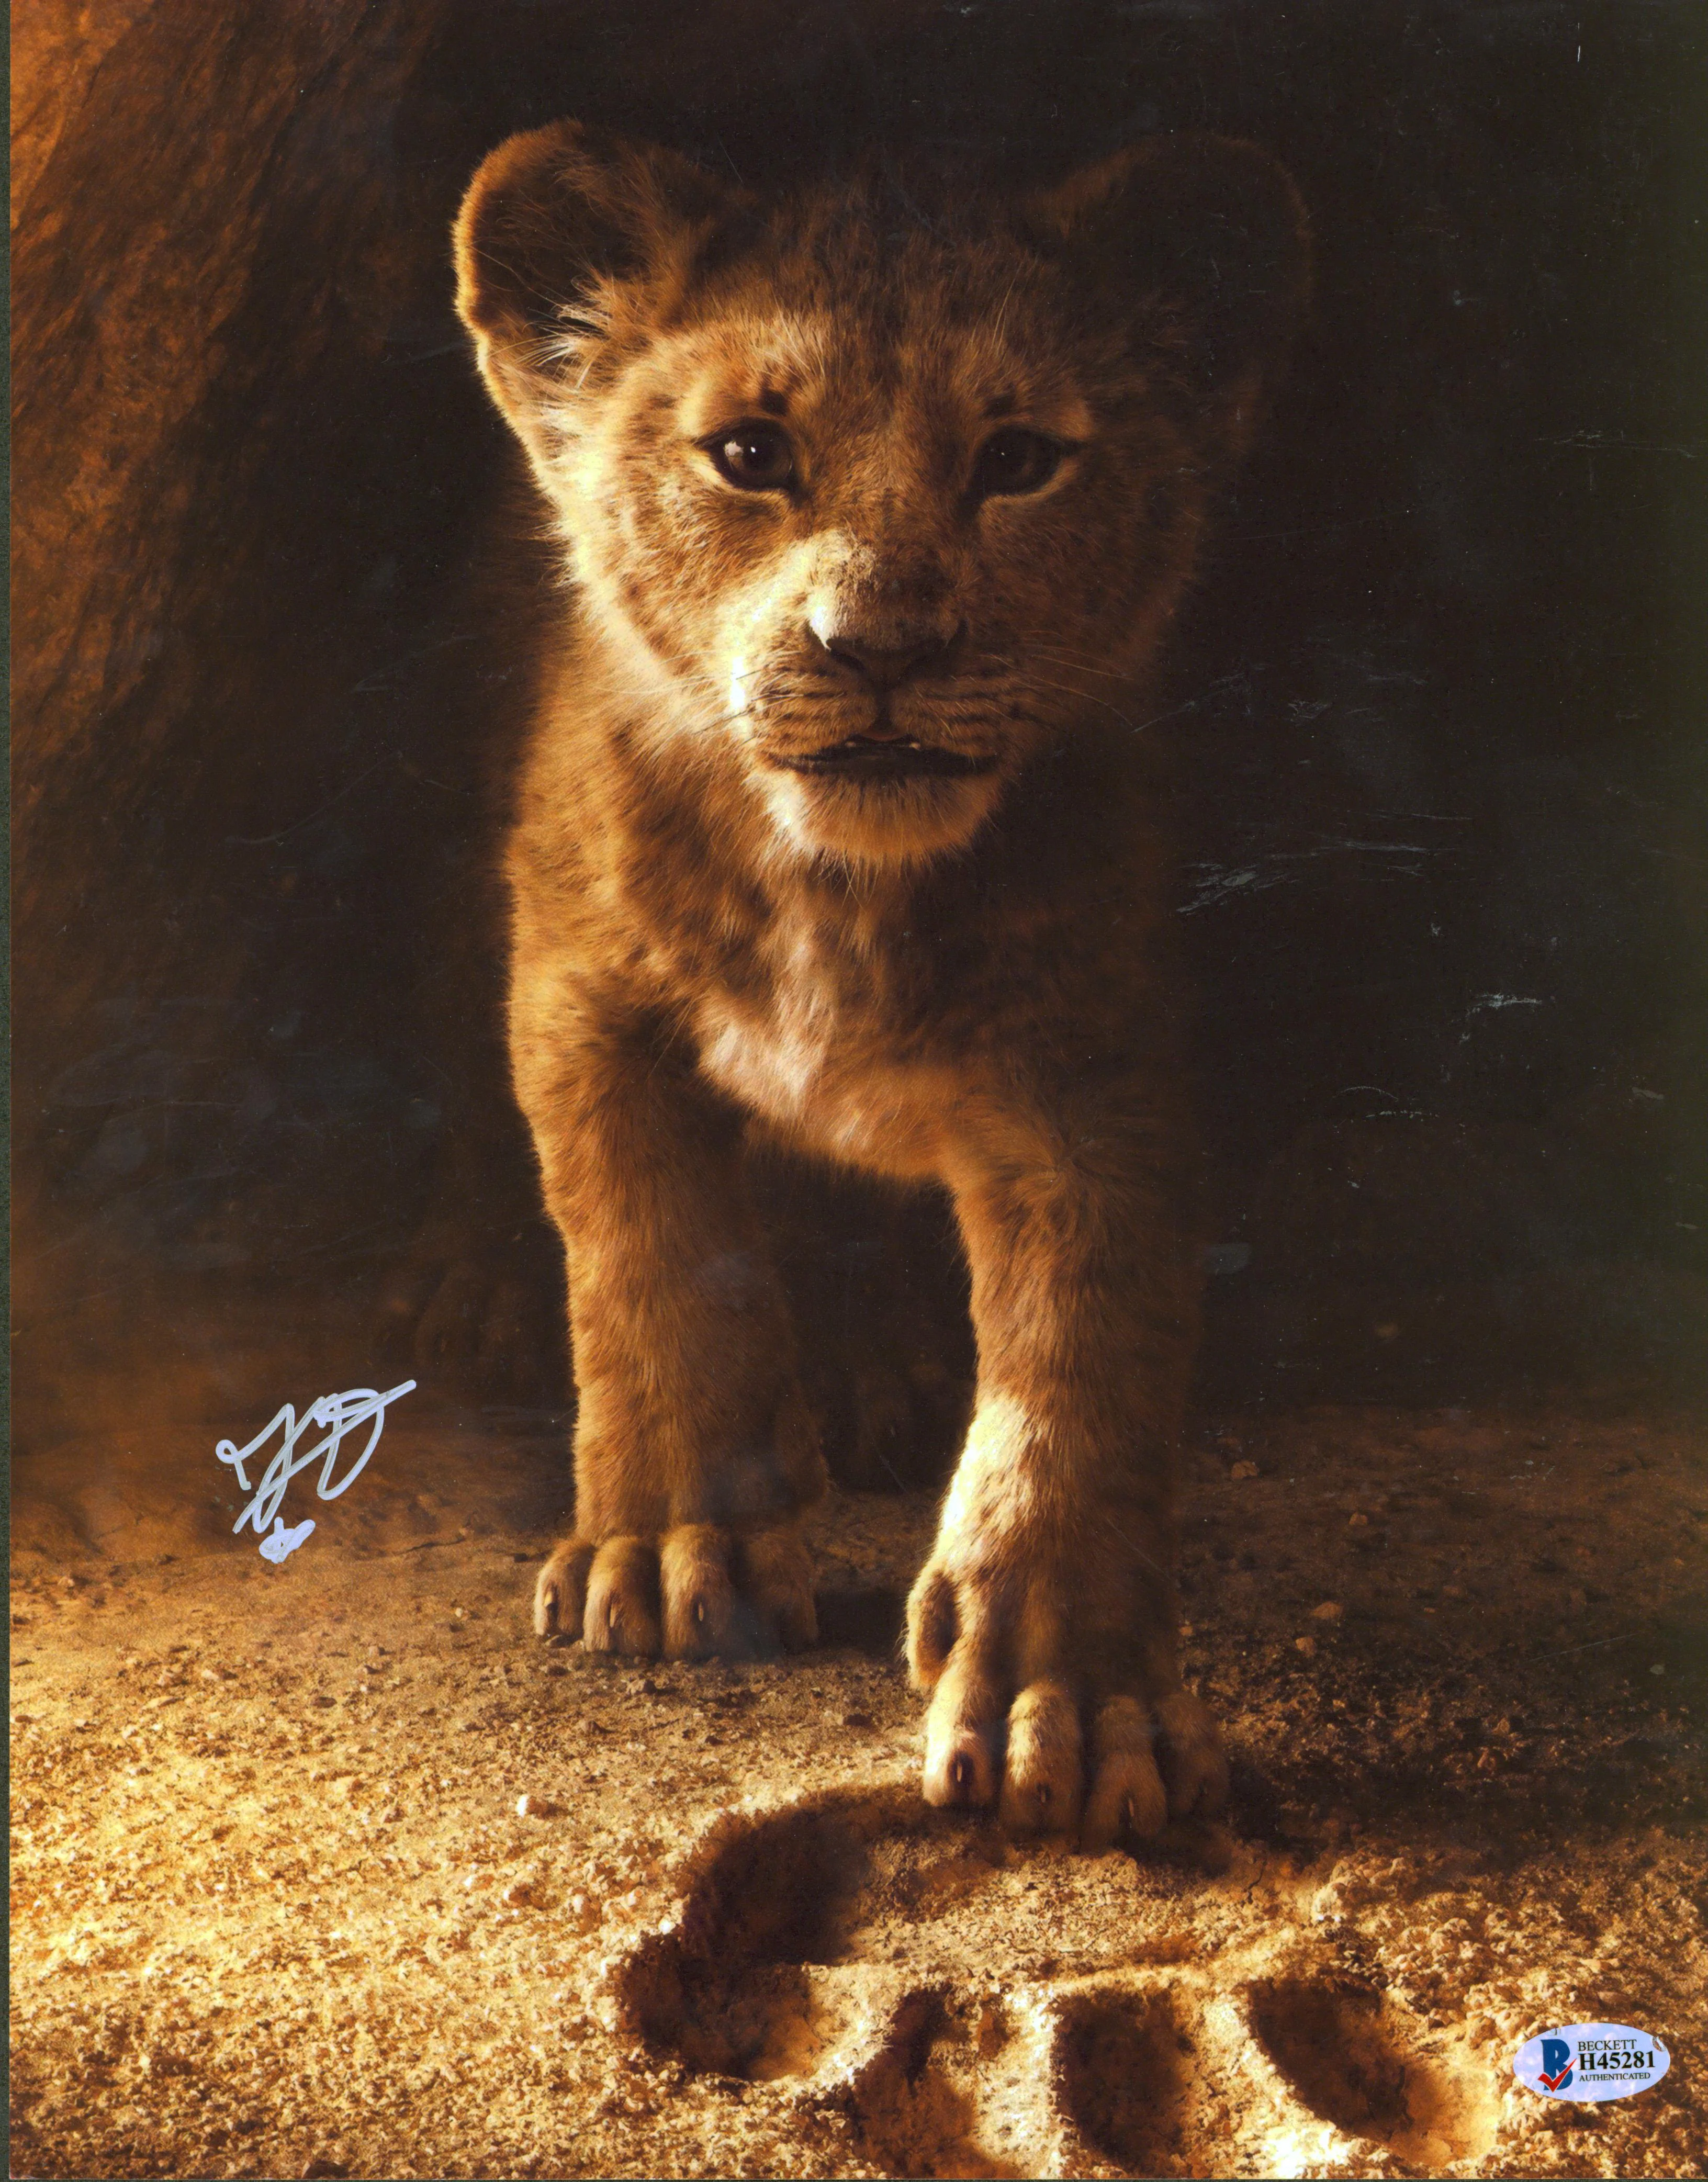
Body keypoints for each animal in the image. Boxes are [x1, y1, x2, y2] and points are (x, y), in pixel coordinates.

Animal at [452, 120, 1309, 1845]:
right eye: (747, 453)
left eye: (1019, 458)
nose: (882, 646)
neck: (837, 885)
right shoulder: (582, 993)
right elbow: (650, 1266)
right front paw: (670, 1549)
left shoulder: (1091, 1068)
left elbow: (1081, 1363)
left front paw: (1071, 1696)